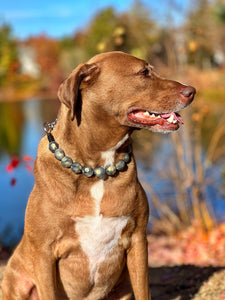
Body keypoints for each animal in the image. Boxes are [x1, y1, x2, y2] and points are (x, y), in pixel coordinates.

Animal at [1, 52, 195, 300]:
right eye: (144, 72)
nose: (192, 91)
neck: (96, 171)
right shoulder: (44, 253)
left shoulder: (138, 241)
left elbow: (143, 290)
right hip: (17, 280)